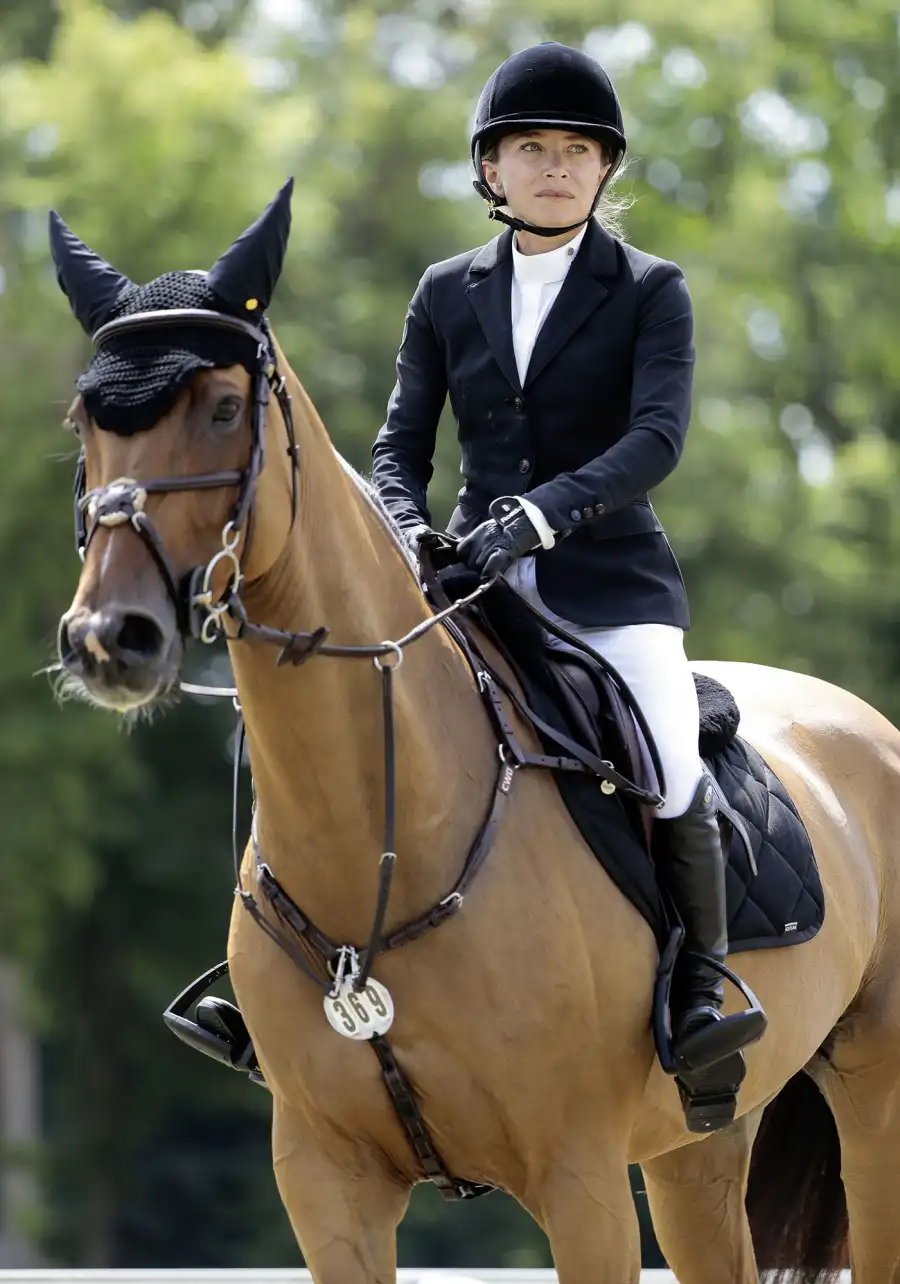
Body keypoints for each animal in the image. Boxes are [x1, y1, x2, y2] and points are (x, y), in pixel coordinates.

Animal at [51, 184, 900, 1283]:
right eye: (85, 420)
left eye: (225, 409)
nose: (111, 638)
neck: (382, 848)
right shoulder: (325, 1185)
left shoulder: (581, 1181)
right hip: (698, 1146)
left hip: (874, 1101)